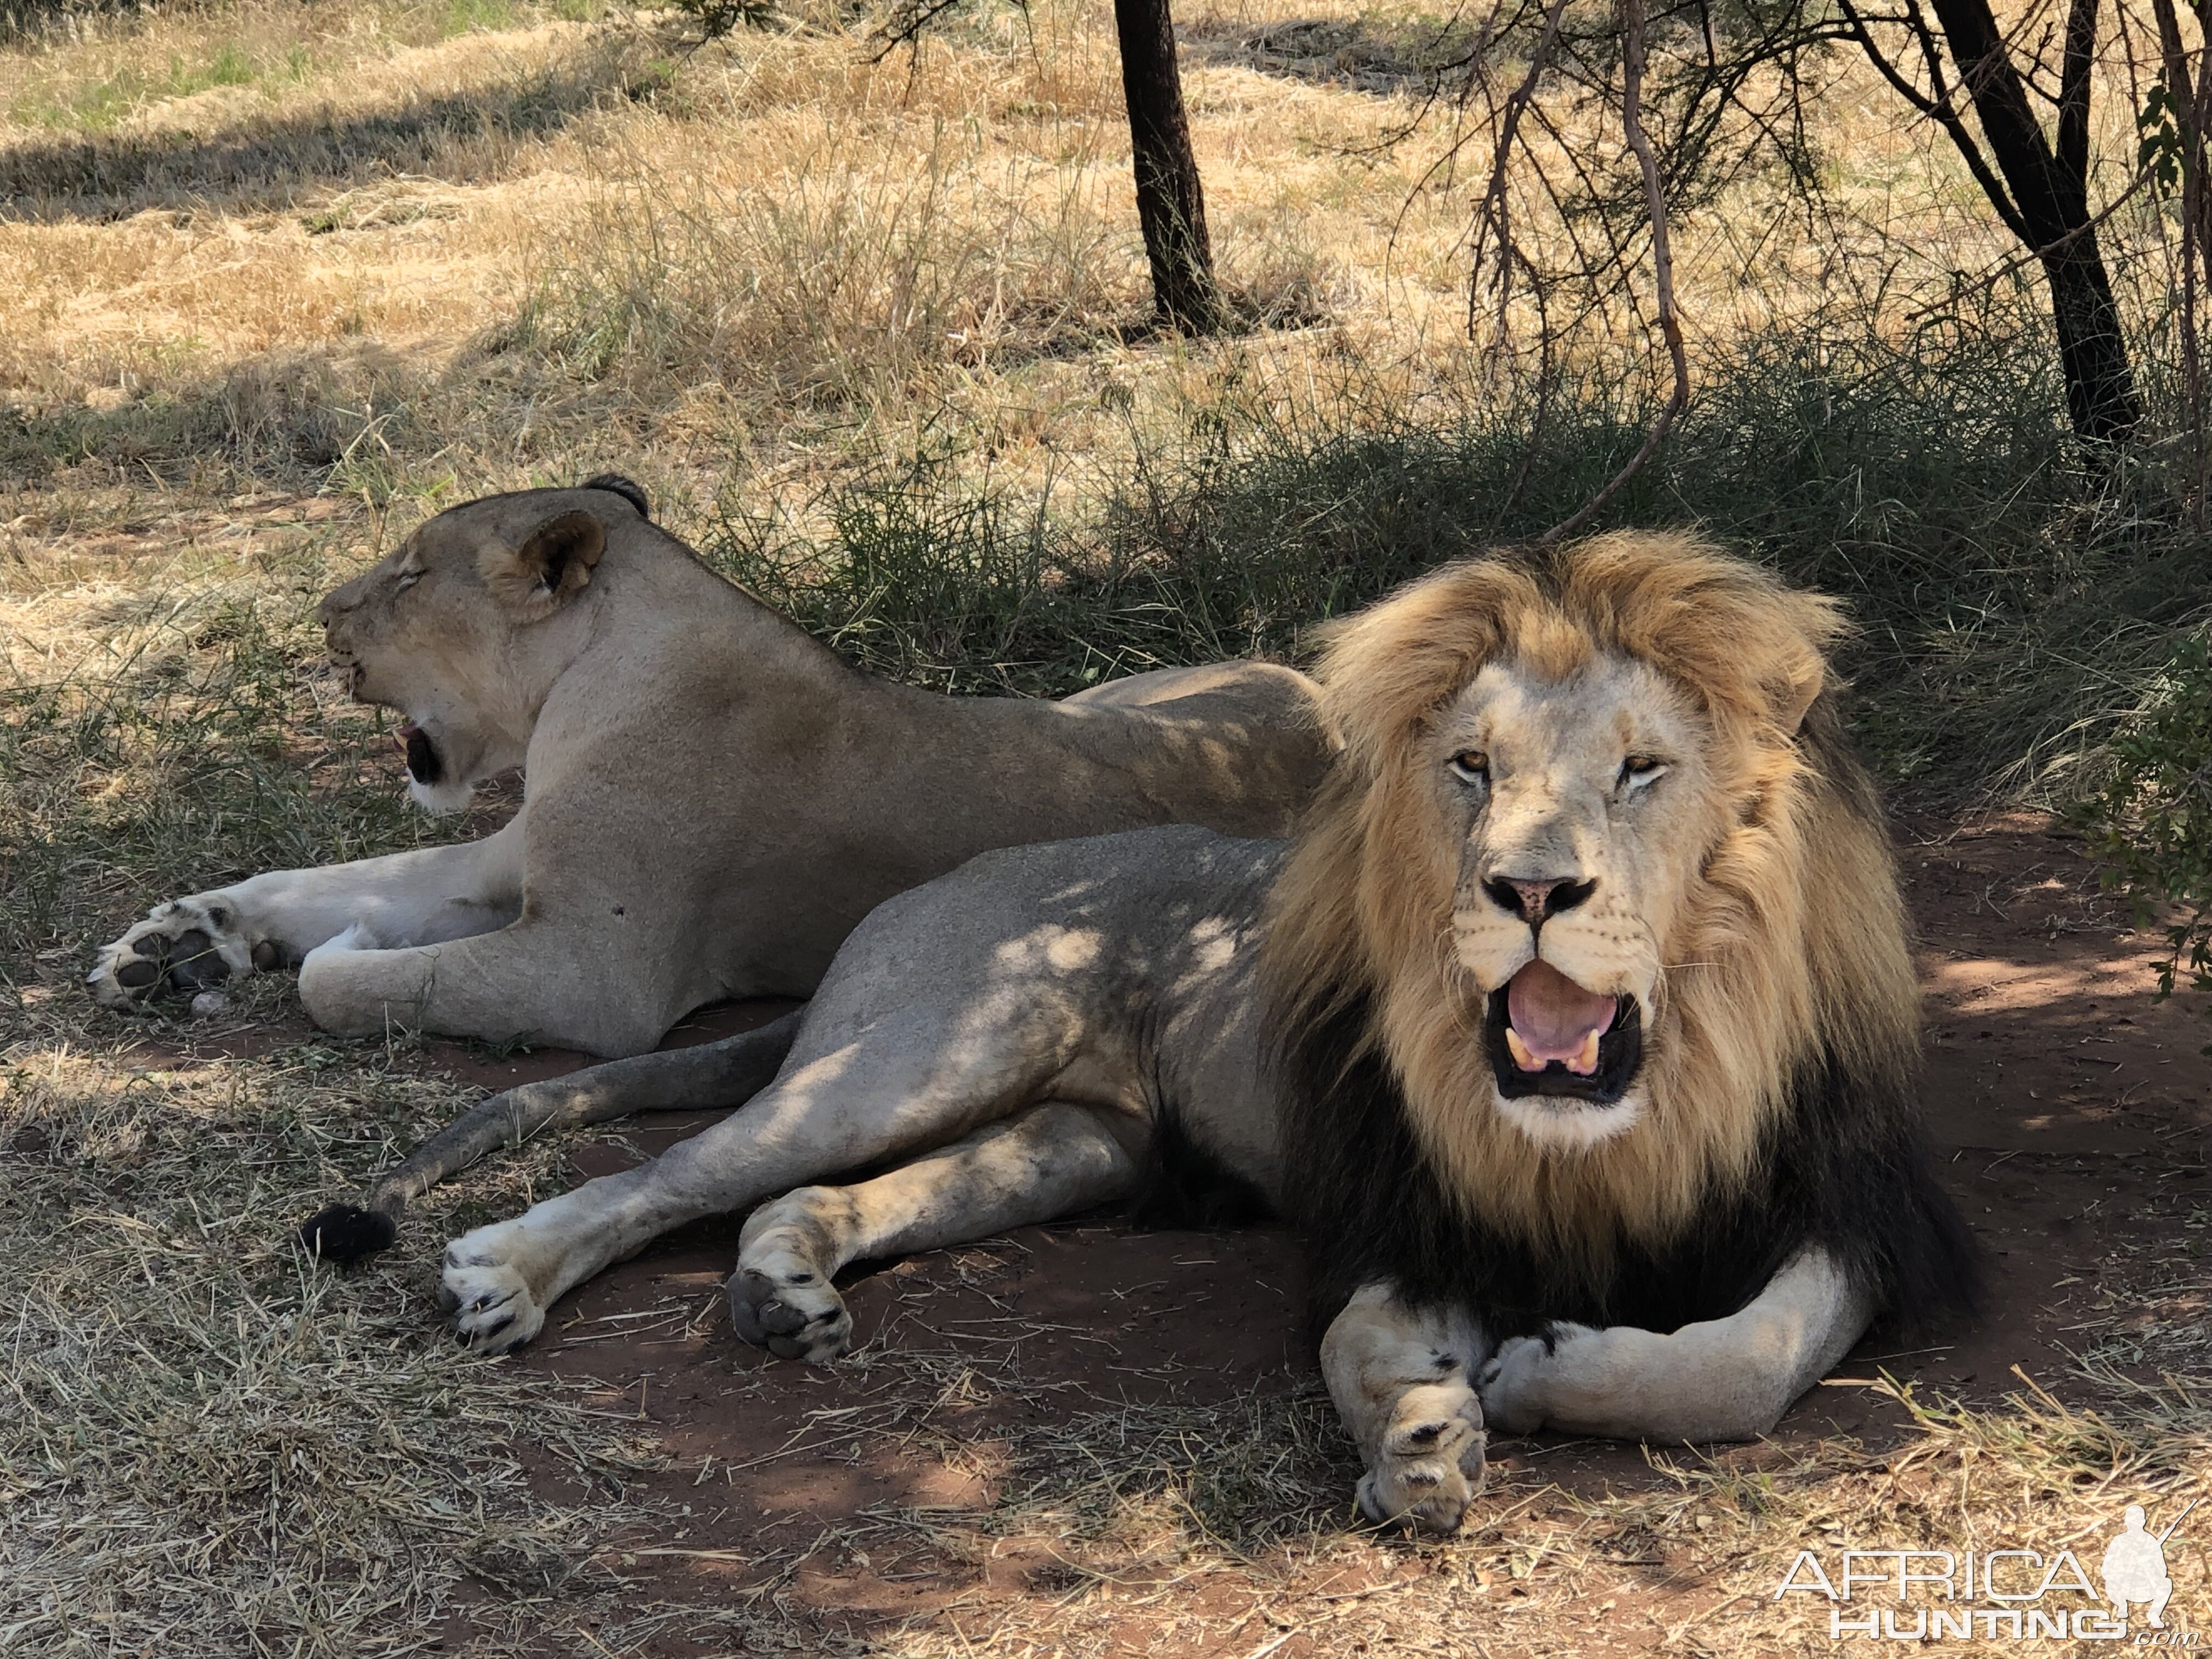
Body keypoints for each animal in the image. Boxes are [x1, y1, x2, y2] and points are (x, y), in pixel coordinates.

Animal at [91, 473, 1327, 1057]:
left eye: (408, 576)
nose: (321, 614)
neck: (587, 682)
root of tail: (1323, 710)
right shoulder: (503, 864)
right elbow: (318, 886)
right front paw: (174, 944)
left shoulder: (593, 977)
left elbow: (345, 977)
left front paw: (329, 953)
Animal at [393, 528, 1973, 1531]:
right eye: (1470, 767)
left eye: (1644, 771)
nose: (1531, 890)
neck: (1630, 1103)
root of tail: (928, 891)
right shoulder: (1394, 1220)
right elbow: (1352, 1346)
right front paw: (1420, 1437)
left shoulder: (1860, 1211)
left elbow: (1747, 1361)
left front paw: (1542, 1376)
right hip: (940, 1044)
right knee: (679, 1168)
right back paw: (504, 1274)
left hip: (1069, 1142)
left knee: (811, 1197)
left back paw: (783, 1293)